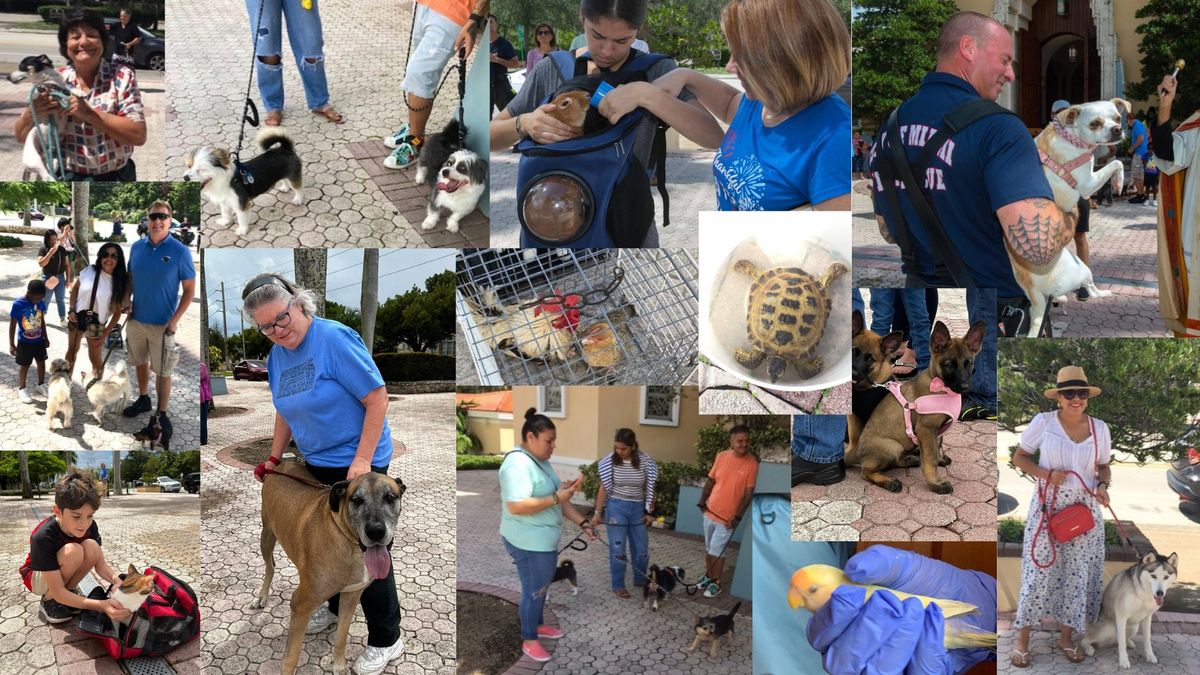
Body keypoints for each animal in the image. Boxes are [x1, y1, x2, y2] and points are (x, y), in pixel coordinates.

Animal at [250, 458, 405, 667]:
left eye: (389, 497)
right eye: (356, 500)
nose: (376, 531)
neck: (348, 541)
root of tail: (280, 465)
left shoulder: (351, 596)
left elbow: (341, 637)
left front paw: (339, 666)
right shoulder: (300, 605)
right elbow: (291, 658)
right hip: (266, 534)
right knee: (270, 566)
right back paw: (262, 596)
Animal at [844, 317, 984, 492]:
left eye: (968, 363)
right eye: (949, 365)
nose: (965, 387)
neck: (939, 386)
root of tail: (855, 450)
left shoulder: (935, 431)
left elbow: (937, 446)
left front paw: (939, 460)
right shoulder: (926, 429)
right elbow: (930, 458)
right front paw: (935, 483)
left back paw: (908, 460)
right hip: (892, 446)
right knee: (866, 472)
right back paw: (889, 481)